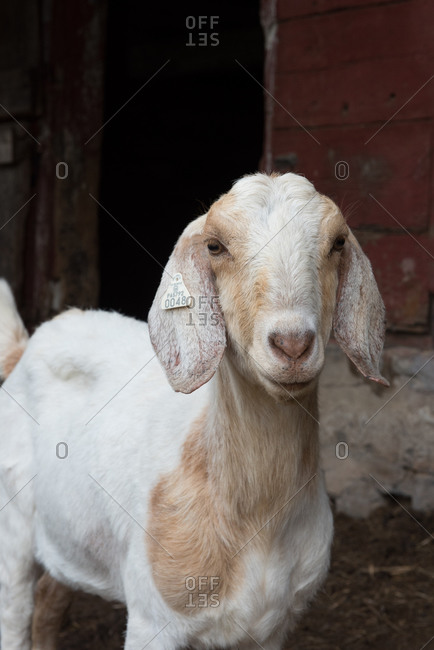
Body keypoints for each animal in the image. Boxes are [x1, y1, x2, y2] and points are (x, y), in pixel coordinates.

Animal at [0, 172, 388, 649]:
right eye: (215, 246)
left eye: (338, 242)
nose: (292, 344)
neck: (257, 520)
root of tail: (24, 349)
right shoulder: (152, 621)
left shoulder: (271, 629)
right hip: (12, 525)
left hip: (71, 532)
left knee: (49, 600)